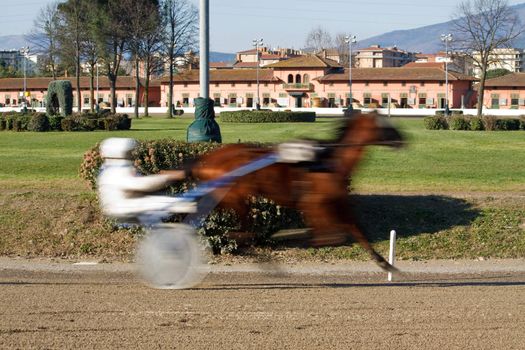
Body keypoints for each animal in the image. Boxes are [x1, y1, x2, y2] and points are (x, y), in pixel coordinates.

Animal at [190, 111, 404, 270]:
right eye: (386, 126)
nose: (403, 140)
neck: (330, 162)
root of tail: (207, 160)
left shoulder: (336, 202)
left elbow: (353, 228)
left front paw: (385, 264)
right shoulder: (313, 203)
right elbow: (329, 234)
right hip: (233, 194)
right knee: (240, 226)